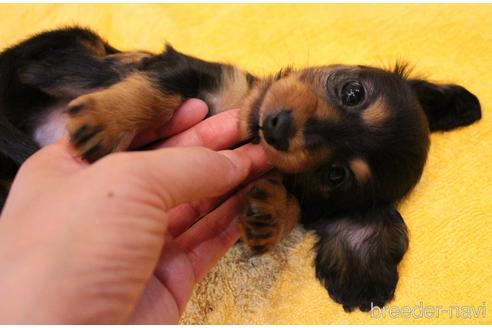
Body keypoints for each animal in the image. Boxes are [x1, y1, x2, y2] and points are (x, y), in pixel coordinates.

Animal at [0, 26, 480, 312]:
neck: (244, 117)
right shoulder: (194, 73)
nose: (278, 125)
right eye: (353, 92)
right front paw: (107, 120)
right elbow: (158, 89)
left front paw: (273, 211)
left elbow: (290, 205)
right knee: (71, 57)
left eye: (337, 174)